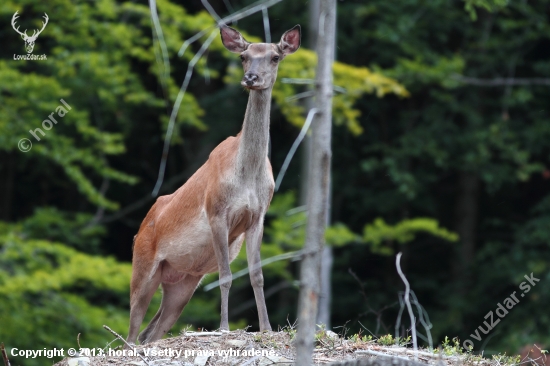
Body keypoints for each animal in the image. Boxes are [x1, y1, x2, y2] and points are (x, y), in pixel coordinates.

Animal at [126, 24, 302, 344]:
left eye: (274, 57)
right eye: (244, 56)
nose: (251, 78)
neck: (247, 174)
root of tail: (139, 231)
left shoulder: (258, 216)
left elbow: (257, 275)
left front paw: (267, 328)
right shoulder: (216, 211)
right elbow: (225, 275)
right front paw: (224, 327)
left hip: (182, 281)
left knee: (152, 330)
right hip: (142, 267)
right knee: (132, 330)